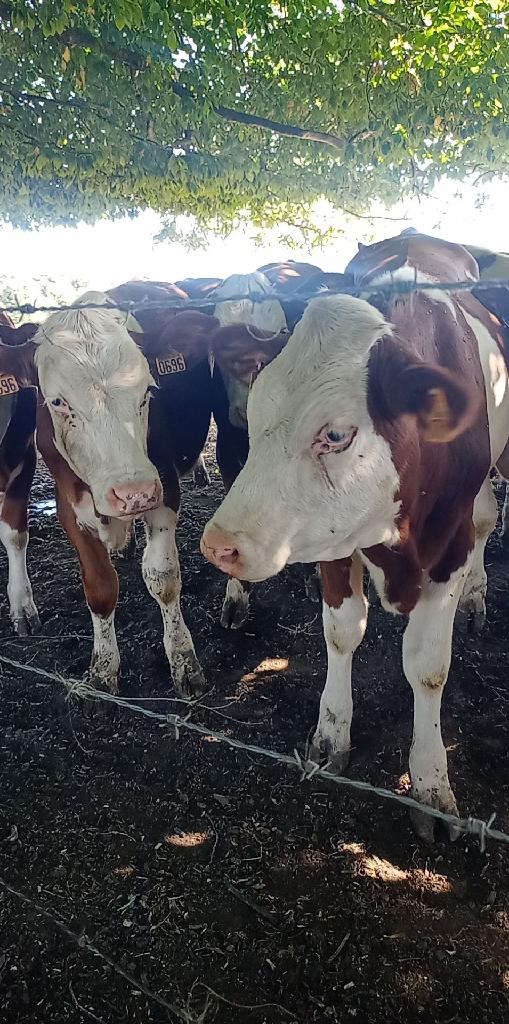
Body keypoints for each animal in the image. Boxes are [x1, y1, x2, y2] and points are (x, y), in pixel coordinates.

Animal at [32, 291, 218, 696]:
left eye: (148, 390)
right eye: (58, 402)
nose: (133, 492)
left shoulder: (163, 490)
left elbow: (163, 579)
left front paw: (183, 659)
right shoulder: (69, 510)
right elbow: (100, 588)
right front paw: (103, 671)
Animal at [201, 231, 509, 840]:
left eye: (337, 435)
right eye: (259, 406)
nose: (219, 544)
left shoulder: (451, 542)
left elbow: (428, 666)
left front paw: (432, 784)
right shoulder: (333, 540)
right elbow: (342, 633)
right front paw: (331, 733)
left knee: (489, 519)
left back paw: (476, 598)